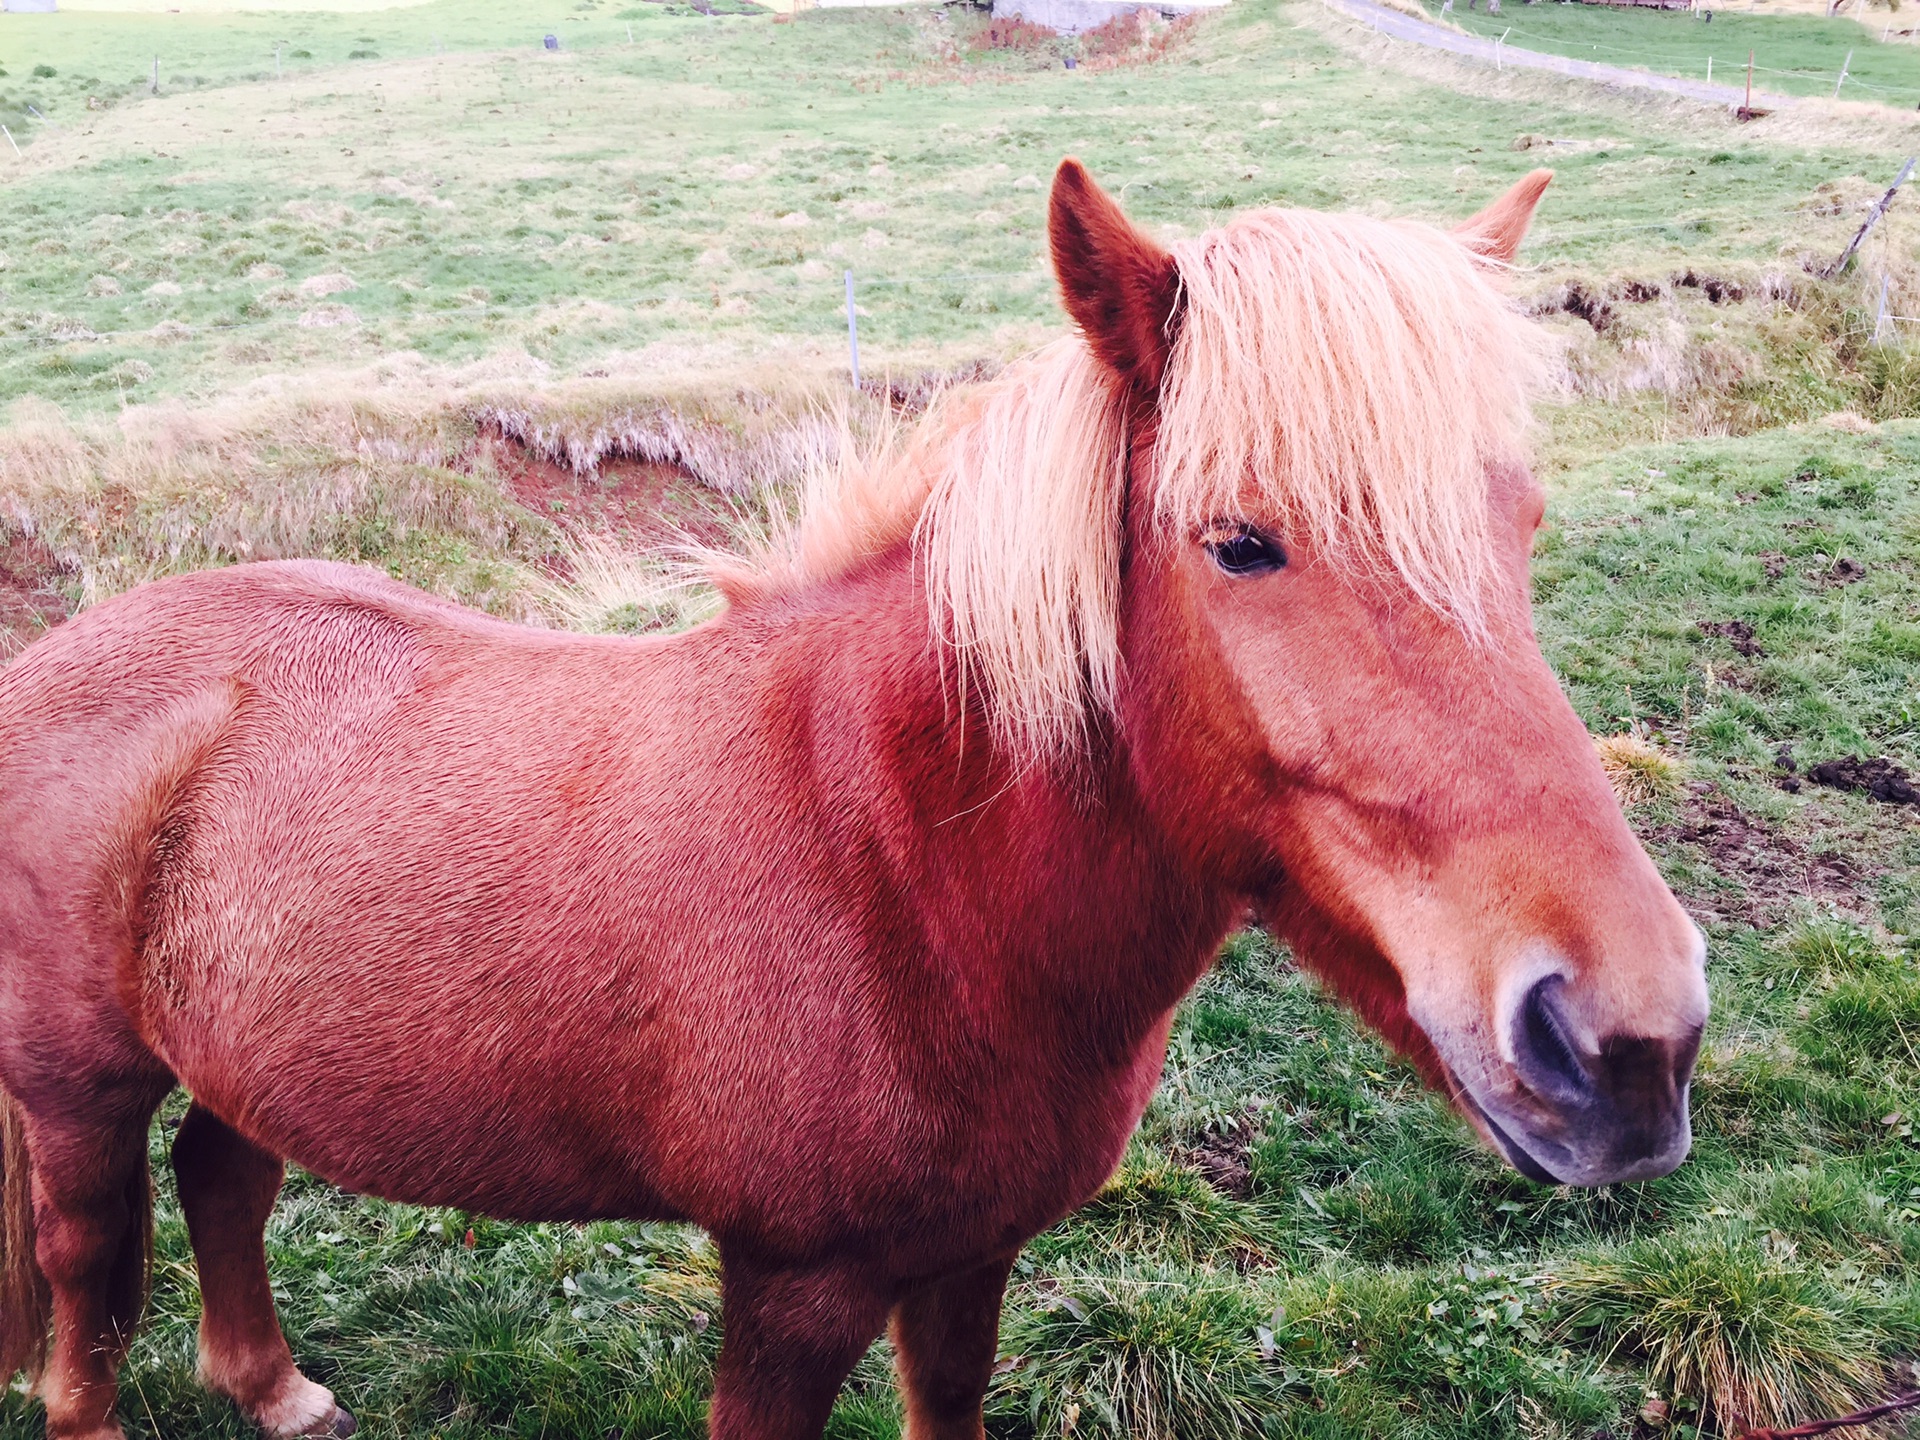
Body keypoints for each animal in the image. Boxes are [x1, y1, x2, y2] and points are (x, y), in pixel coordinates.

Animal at [3, 163, 1712, 1440]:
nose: (1629, 1042)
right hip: (78, 1092)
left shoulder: (967, 1262)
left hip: (246, 1055)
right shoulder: (791, 1290)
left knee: (223, 1176)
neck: (893, 865)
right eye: (1241, 542)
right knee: (91, 1277)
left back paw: (276, 1389)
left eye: (1522, 520)